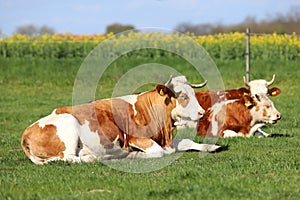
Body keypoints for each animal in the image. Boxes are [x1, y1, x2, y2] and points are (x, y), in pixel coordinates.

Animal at [20, 76, 218, 164]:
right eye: (183, 96)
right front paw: (133, 154)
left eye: (193, 93)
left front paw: (212, 147)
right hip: (69, 125)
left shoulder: (165, 139)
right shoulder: (136, 139)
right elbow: (159, 152)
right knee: (70, 157)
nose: (202, 112)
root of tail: (26, 132)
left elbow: (185, 142)